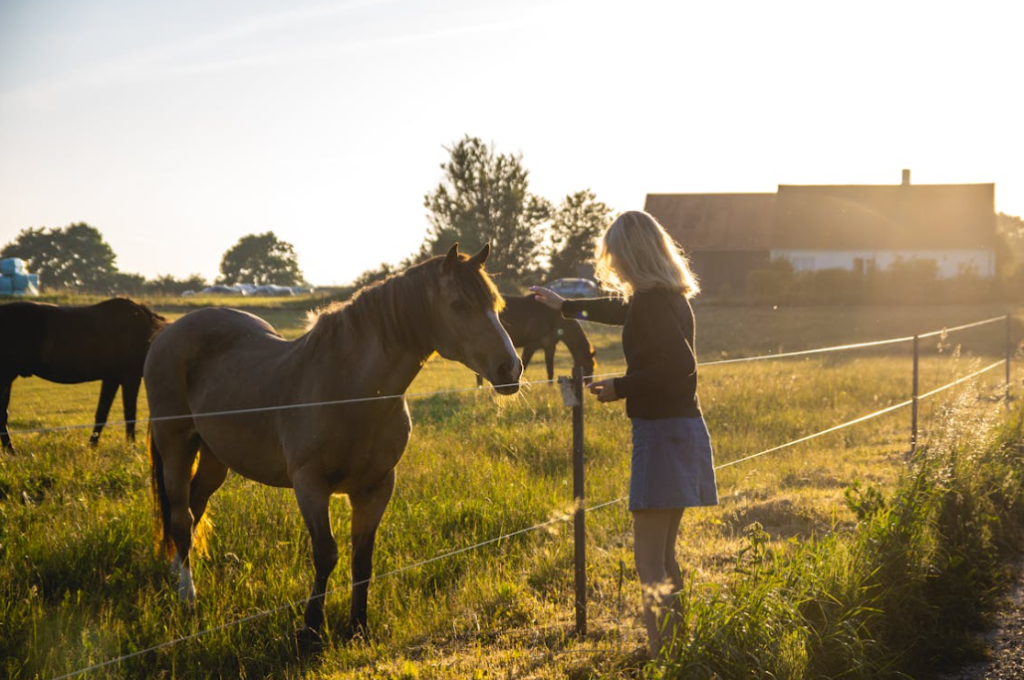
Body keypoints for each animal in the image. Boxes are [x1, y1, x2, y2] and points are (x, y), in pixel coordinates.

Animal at [0, 299, 166, 454]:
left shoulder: (111, 378)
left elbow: (102, 414)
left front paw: (92, 446)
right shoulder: (130, 378)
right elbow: (130, 415)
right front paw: (131, 448)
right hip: (6, 378)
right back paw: (11, 452)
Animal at [142, 244, 520, 643]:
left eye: (496, 305)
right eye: (458, 304)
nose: (511, 369)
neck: (351, 389)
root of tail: (168, 332)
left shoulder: (377, 486)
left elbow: (362, 559)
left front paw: (358, 627)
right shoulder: (310, 484)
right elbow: (326, 553)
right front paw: (310, 629)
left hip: (215, 455)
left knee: (194, 507)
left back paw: (177, 574)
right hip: (176, 445)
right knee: (180, 517)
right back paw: (188, 598)